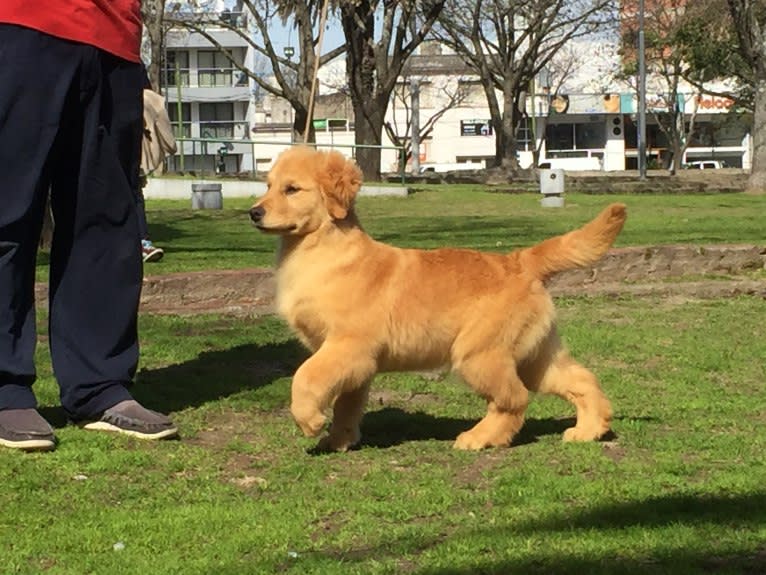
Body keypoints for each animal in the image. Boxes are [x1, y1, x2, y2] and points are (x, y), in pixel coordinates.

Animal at [252, 147, 632, 454]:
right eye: (268, 185)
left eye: (291, 189)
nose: (254, 213)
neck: (322, 251)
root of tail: (520, 260)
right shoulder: (356, 362)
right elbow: (347, 404)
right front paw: (338, 440)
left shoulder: (348, 345)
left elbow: (305, 376)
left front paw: (310, 421)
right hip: (534, 355)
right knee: (580, 381)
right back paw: (589, 429)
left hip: (478, 353)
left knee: (514, 399)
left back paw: (480, 437)